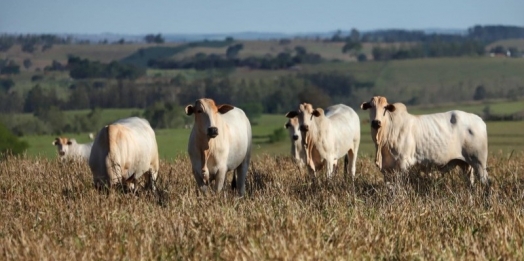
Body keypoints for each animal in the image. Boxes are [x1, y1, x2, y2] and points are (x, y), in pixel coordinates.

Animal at [360, 96, 488, 185]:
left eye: (385, 107)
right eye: (370, 106)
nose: (376, 122)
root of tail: (479, 120)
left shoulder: (402, 165)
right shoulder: (387, 170)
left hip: (479, 163)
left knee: (486, 183)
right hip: (466, 164)